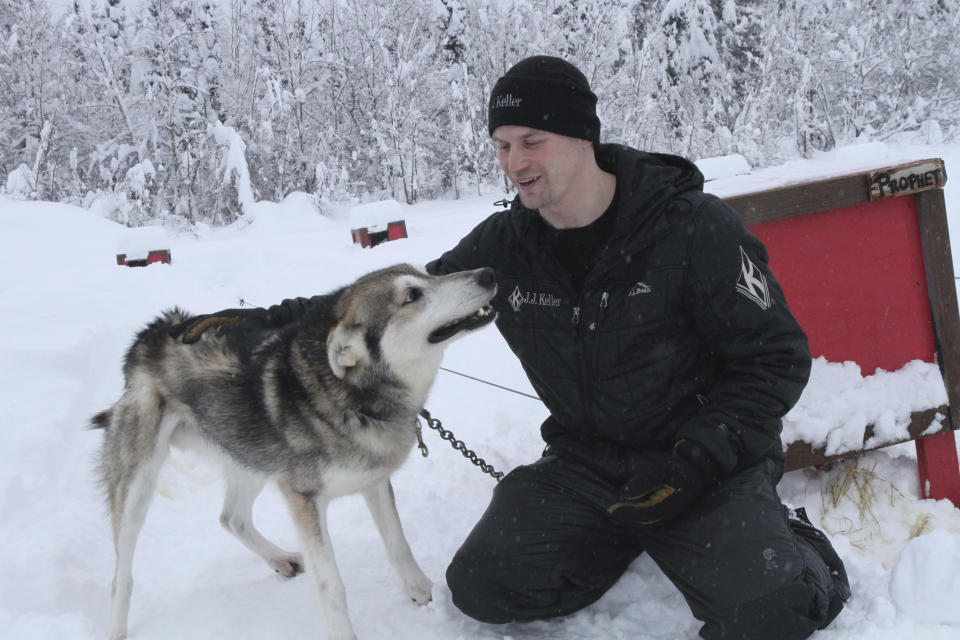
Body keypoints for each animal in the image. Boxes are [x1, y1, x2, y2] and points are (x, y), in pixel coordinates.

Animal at [93, 262, 498, 636]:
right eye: (411, 295)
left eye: (429, 273)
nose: (487, 273)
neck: (357, 399)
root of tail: (153, 331)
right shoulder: (303, 498)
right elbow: (331, 586)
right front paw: (345, 635)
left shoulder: (373, 481)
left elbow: (399, 545)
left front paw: (423, 592)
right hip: (140, 482)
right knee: (120, 575)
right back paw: (116, 627)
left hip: (254, 456)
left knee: (232, 517)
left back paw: (280, 558)